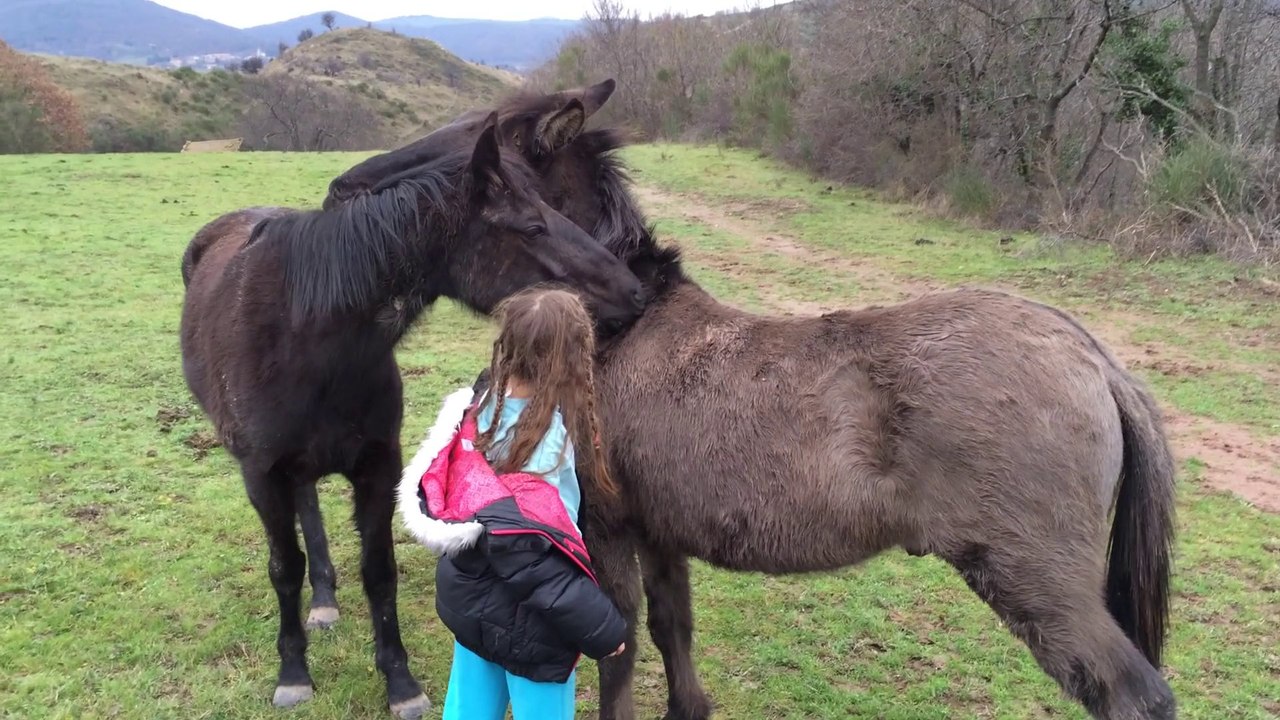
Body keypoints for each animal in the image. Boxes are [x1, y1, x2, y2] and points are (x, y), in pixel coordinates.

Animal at [178, 116, 645, 718]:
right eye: (533, 227)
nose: (632, 292)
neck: (302, 338)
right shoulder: (261, 475)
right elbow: (284, 568)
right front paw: (294, 673)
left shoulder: (380, 466)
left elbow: (380, 572)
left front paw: (399, 682)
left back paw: (325, 599)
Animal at [327, 87, 1179, 720]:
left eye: (486, 140)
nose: (345, 185)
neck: (623, 325)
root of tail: (1094, 356)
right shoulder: (659, 533)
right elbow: (672, 629)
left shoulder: (605, 530)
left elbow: (621, 647)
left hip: (1039, 584)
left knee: (1132, 696)